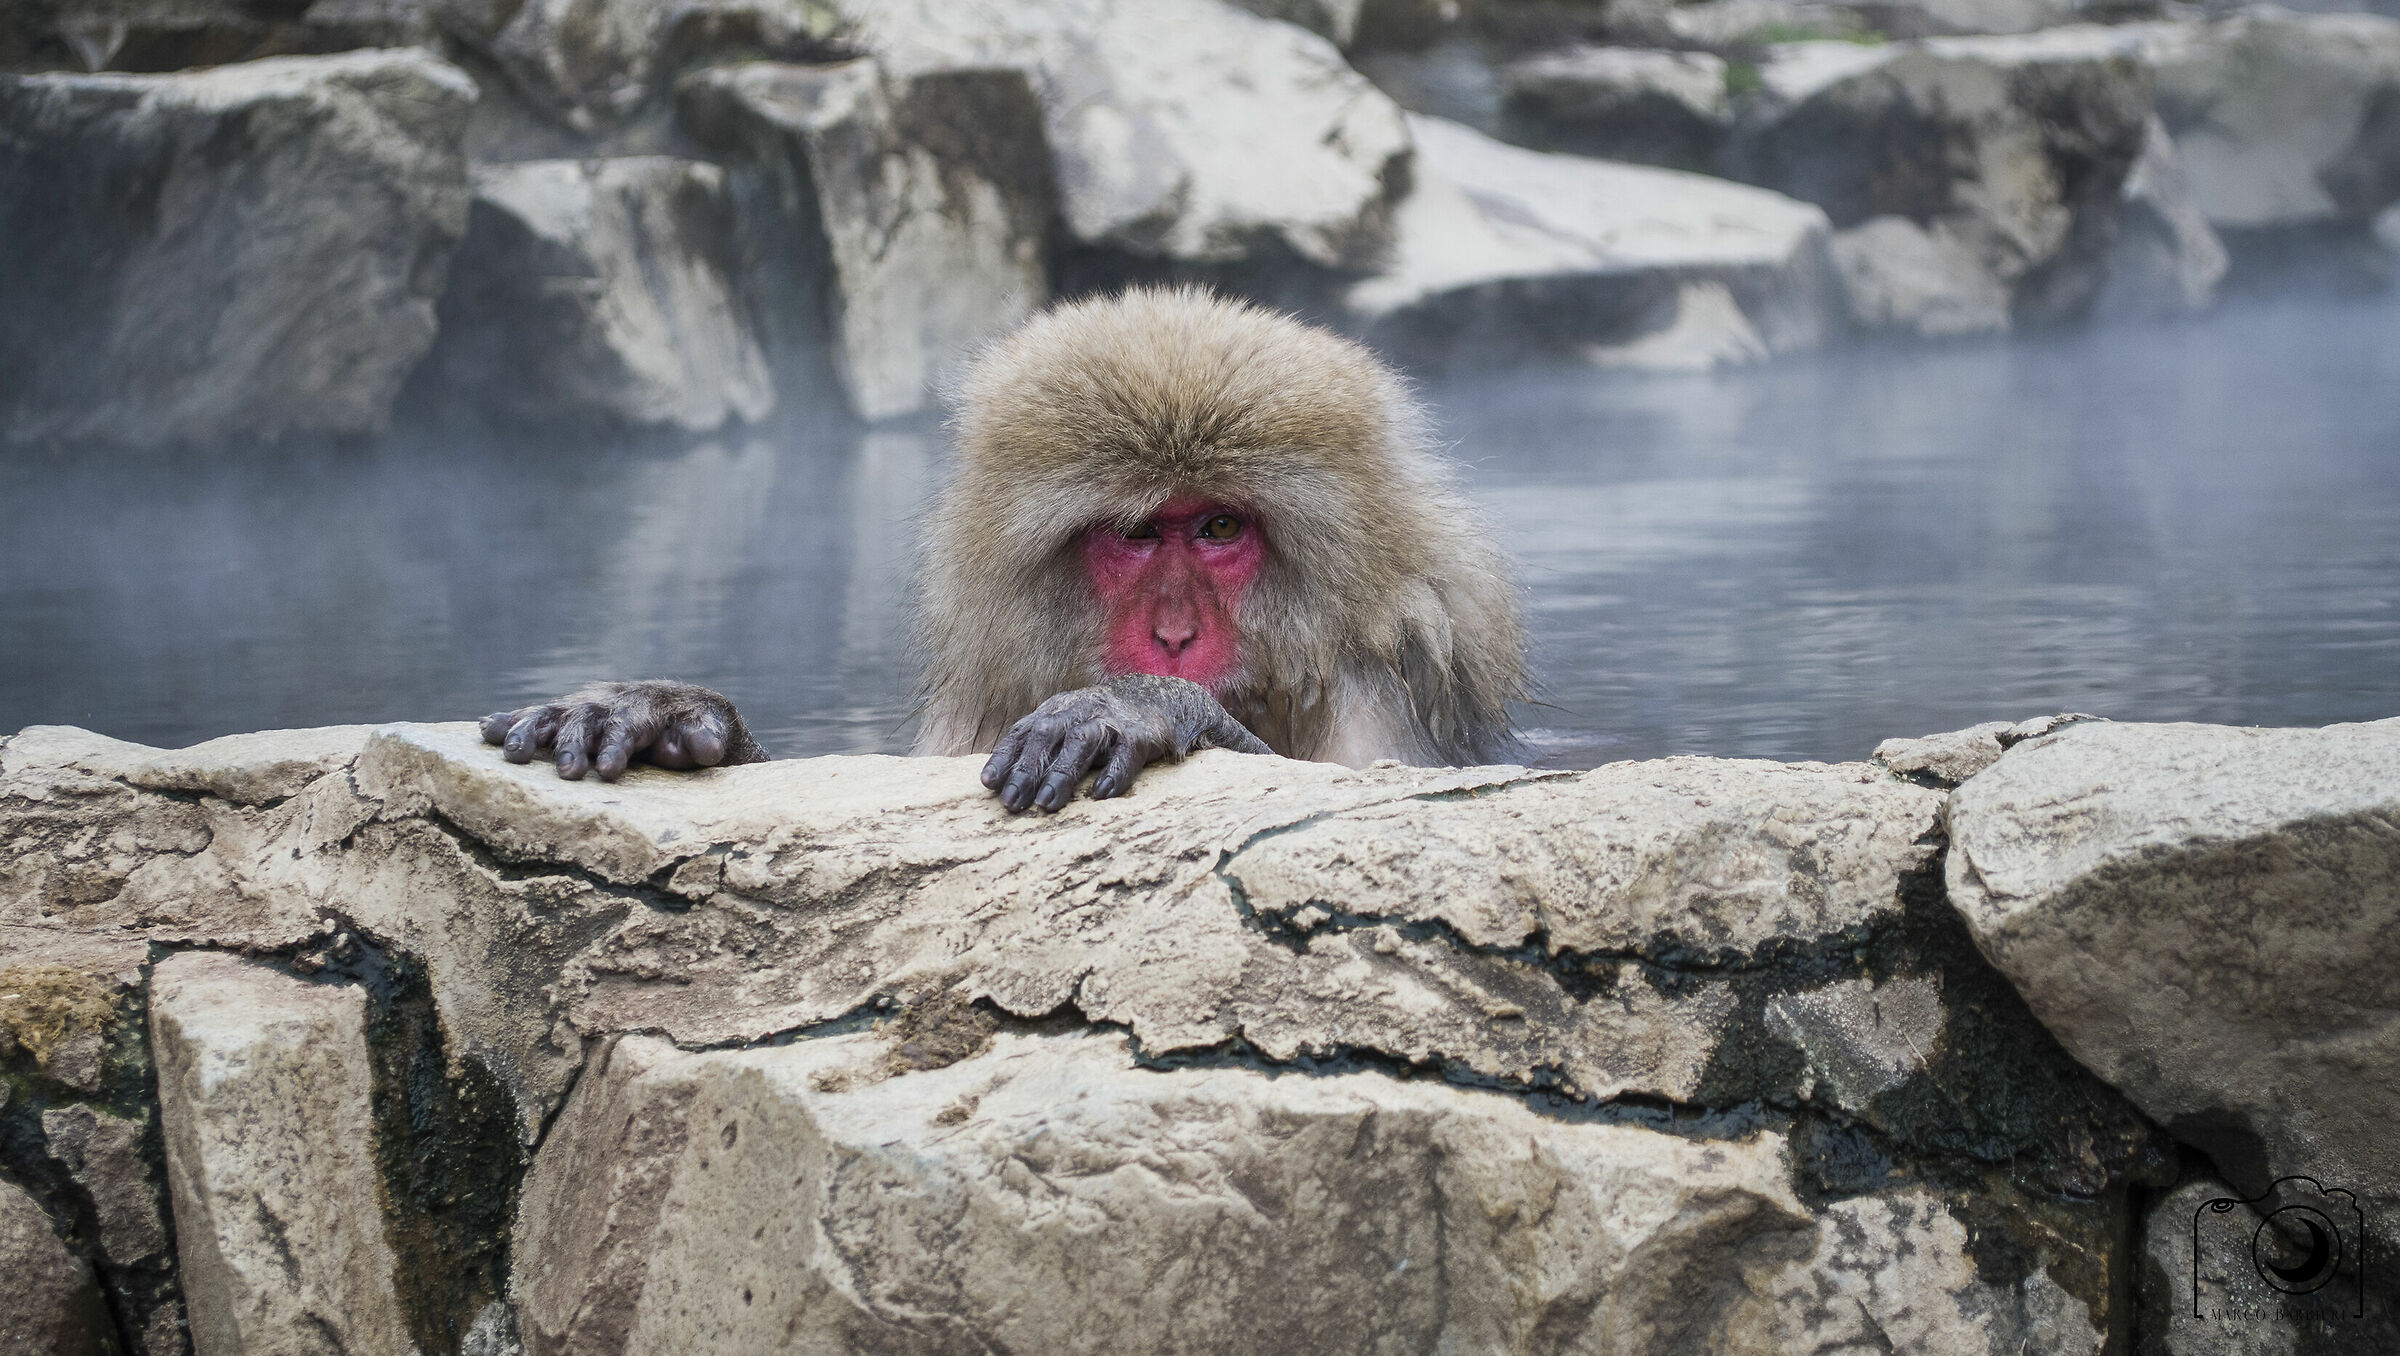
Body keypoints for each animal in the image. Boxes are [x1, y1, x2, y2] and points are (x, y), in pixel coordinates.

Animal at [480, 286, 1528, 812]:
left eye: (1221, 529)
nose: (1175, 639)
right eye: (1139, 534)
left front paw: (1141, 707)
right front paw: (674, 715)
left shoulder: (1379, 680)